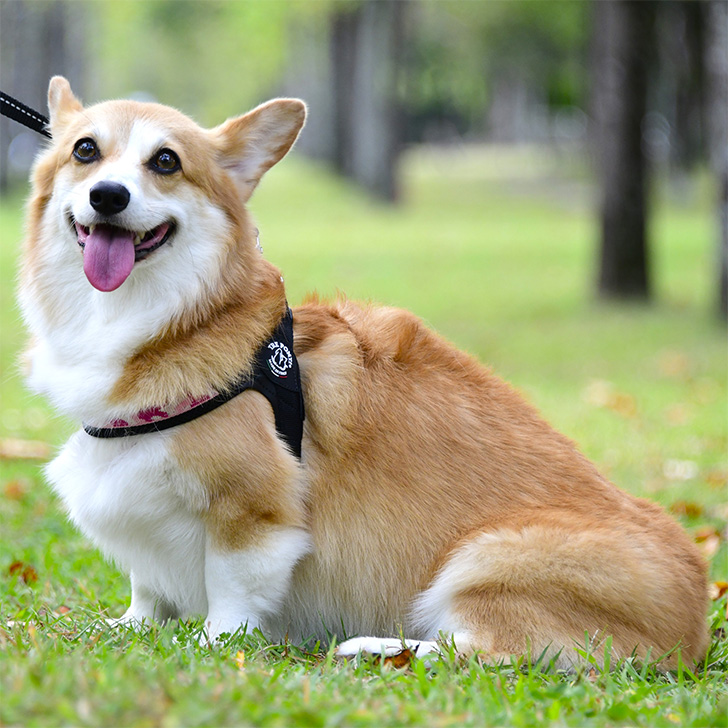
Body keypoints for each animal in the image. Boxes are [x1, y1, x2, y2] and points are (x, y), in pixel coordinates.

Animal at [19, 76, 708, 669]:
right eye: (85, 151)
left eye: (165, 162)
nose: (108, 196)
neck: (170, 320)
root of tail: (695, 626)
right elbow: (148, 585)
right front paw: (130, 626)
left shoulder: (253, 509)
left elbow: (233, 591)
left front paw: (216, 644)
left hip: (488, 558)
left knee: (482, 650)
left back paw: (374, 648)